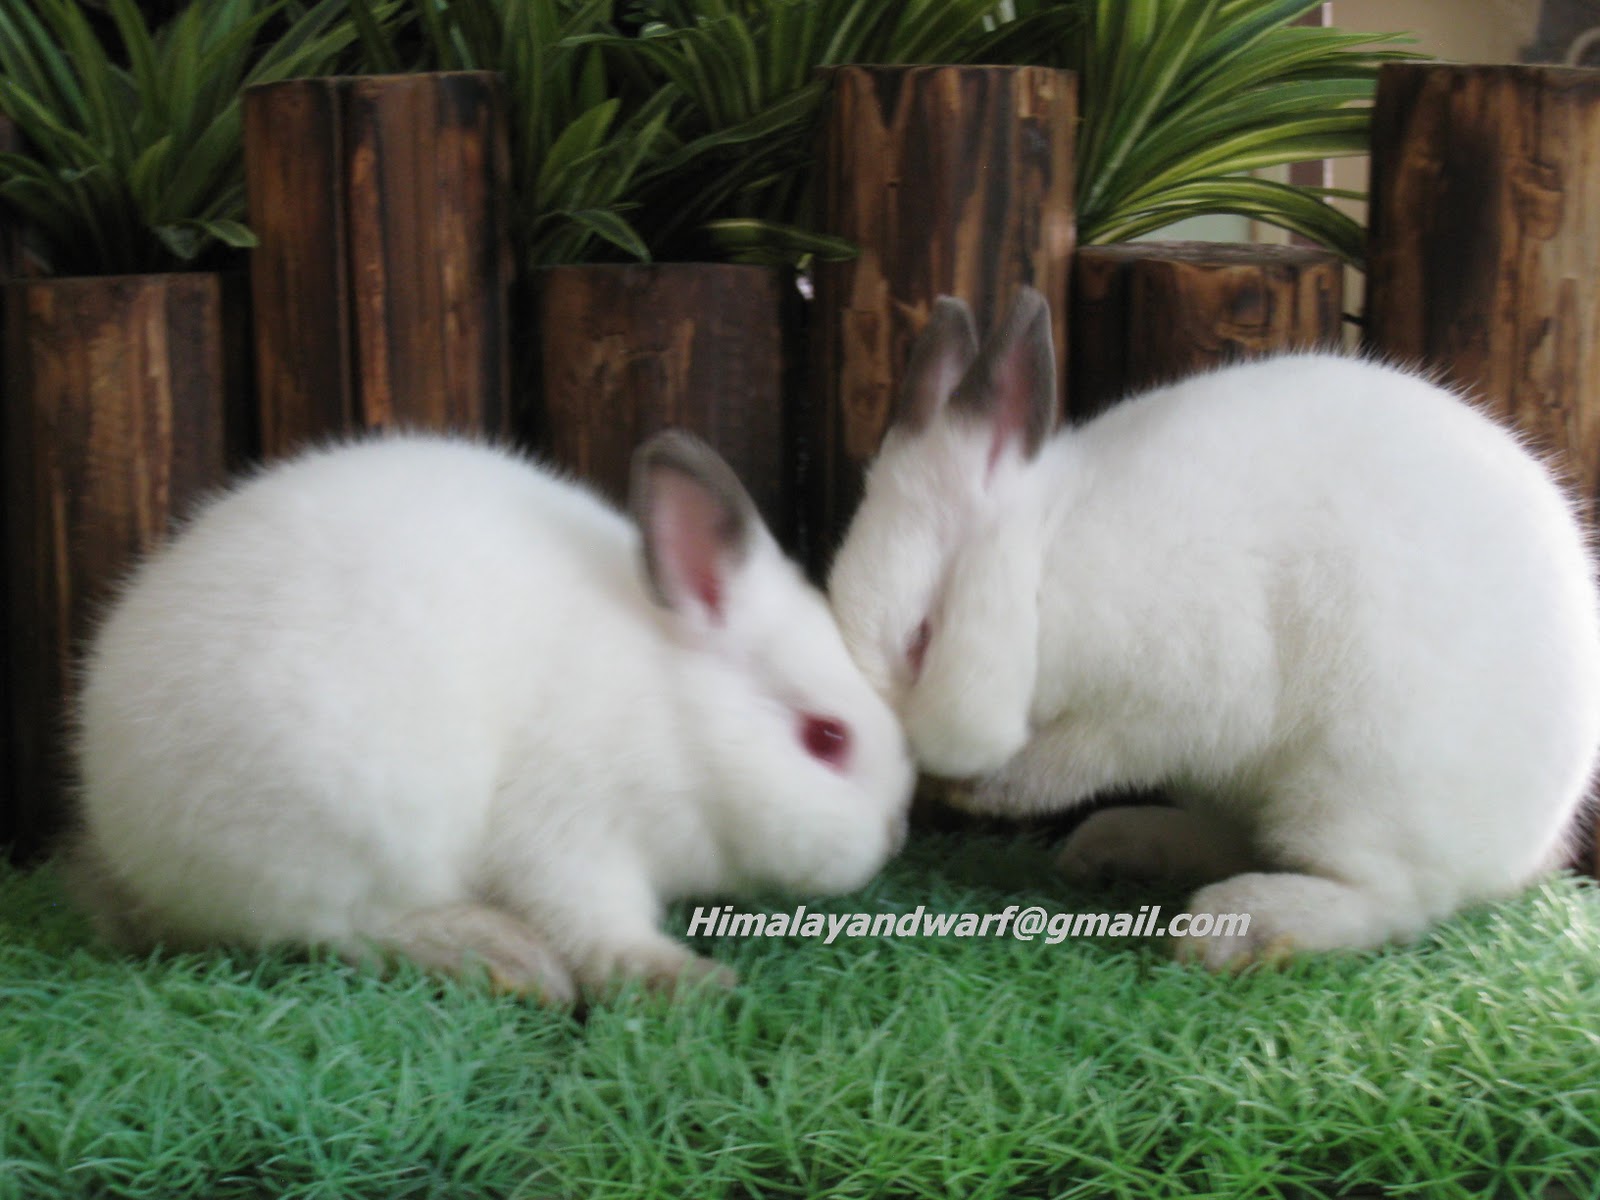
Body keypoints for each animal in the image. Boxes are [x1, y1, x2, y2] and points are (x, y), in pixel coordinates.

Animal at [72, 432, 915, 1004]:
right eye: (826, 739)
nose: (893, 836)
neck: (681, 717)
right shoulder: (570, 834)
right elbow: (594, 920)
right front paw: (685, 980)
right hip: (354, 818)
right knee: (344, 925)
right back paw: (502, 957)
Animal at [825, 289, 1600, 966]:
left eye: (921, 639)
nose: (914, 773)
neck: (1047, 569)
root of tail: (1531, 843)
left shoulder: (1169, 698)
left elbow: (1078, 759)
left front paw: (989, 790)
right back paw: (1118, 847)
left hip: (1357, 790)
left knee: (1387, 899)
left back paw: (1236, 927)